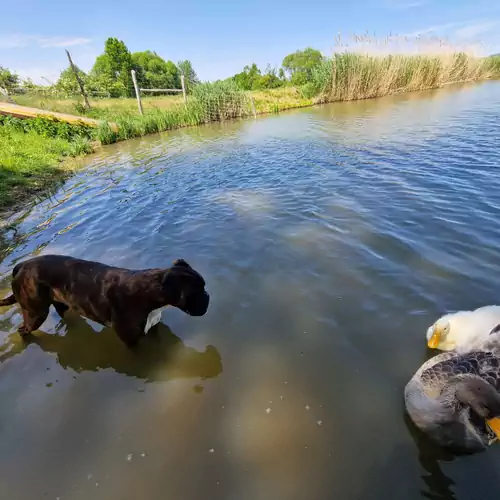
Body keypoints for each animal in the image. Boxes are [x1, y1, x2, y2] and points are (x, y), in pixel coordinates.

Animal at [0, 254, 209, 348]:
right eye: (197, 292)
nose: (208, 297)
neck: (147, 292)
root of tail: (22, 265)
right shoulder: (131, 342)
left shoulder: (153, 329)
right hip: (36, 313)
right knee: (24, 329)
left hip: (63, 304)